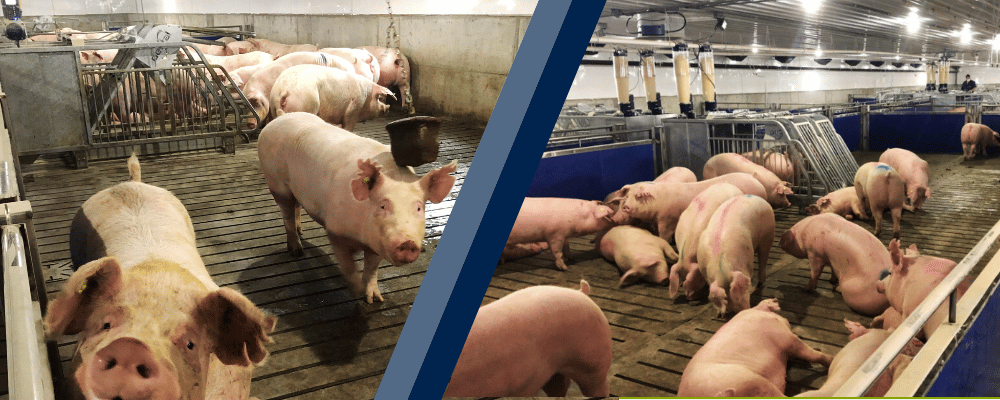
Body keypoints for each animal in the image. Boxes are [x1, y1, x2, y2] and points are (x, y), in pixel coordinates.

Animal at [258, 112, 457, 303]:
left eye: (418, 208)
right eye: (383, 206)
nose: (407, 243)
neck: (361, 238)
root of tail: (279, 118)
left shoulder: (377, 244)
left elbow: (371, 269)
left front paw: (375, 299)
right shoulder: (334, 229)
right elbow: (348, 266)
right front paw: (356, 291)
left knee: (296, 207)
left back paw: (300, 233)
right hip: (276, 183)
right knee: (287, 214)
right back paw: (297, 251)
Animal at [610, 173, 767, 241]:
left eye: (637, 196)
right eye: (625, 198)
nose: (626, 207)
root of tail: (757, 181)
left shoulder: (667, 220)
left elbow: (664, 236)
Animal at [677, 299, 833, 397]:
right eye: (778, 316)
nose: (786, 319)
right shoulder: (786, 338)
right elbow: (811, 354)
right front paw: (830, 359)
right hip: (749, 382)